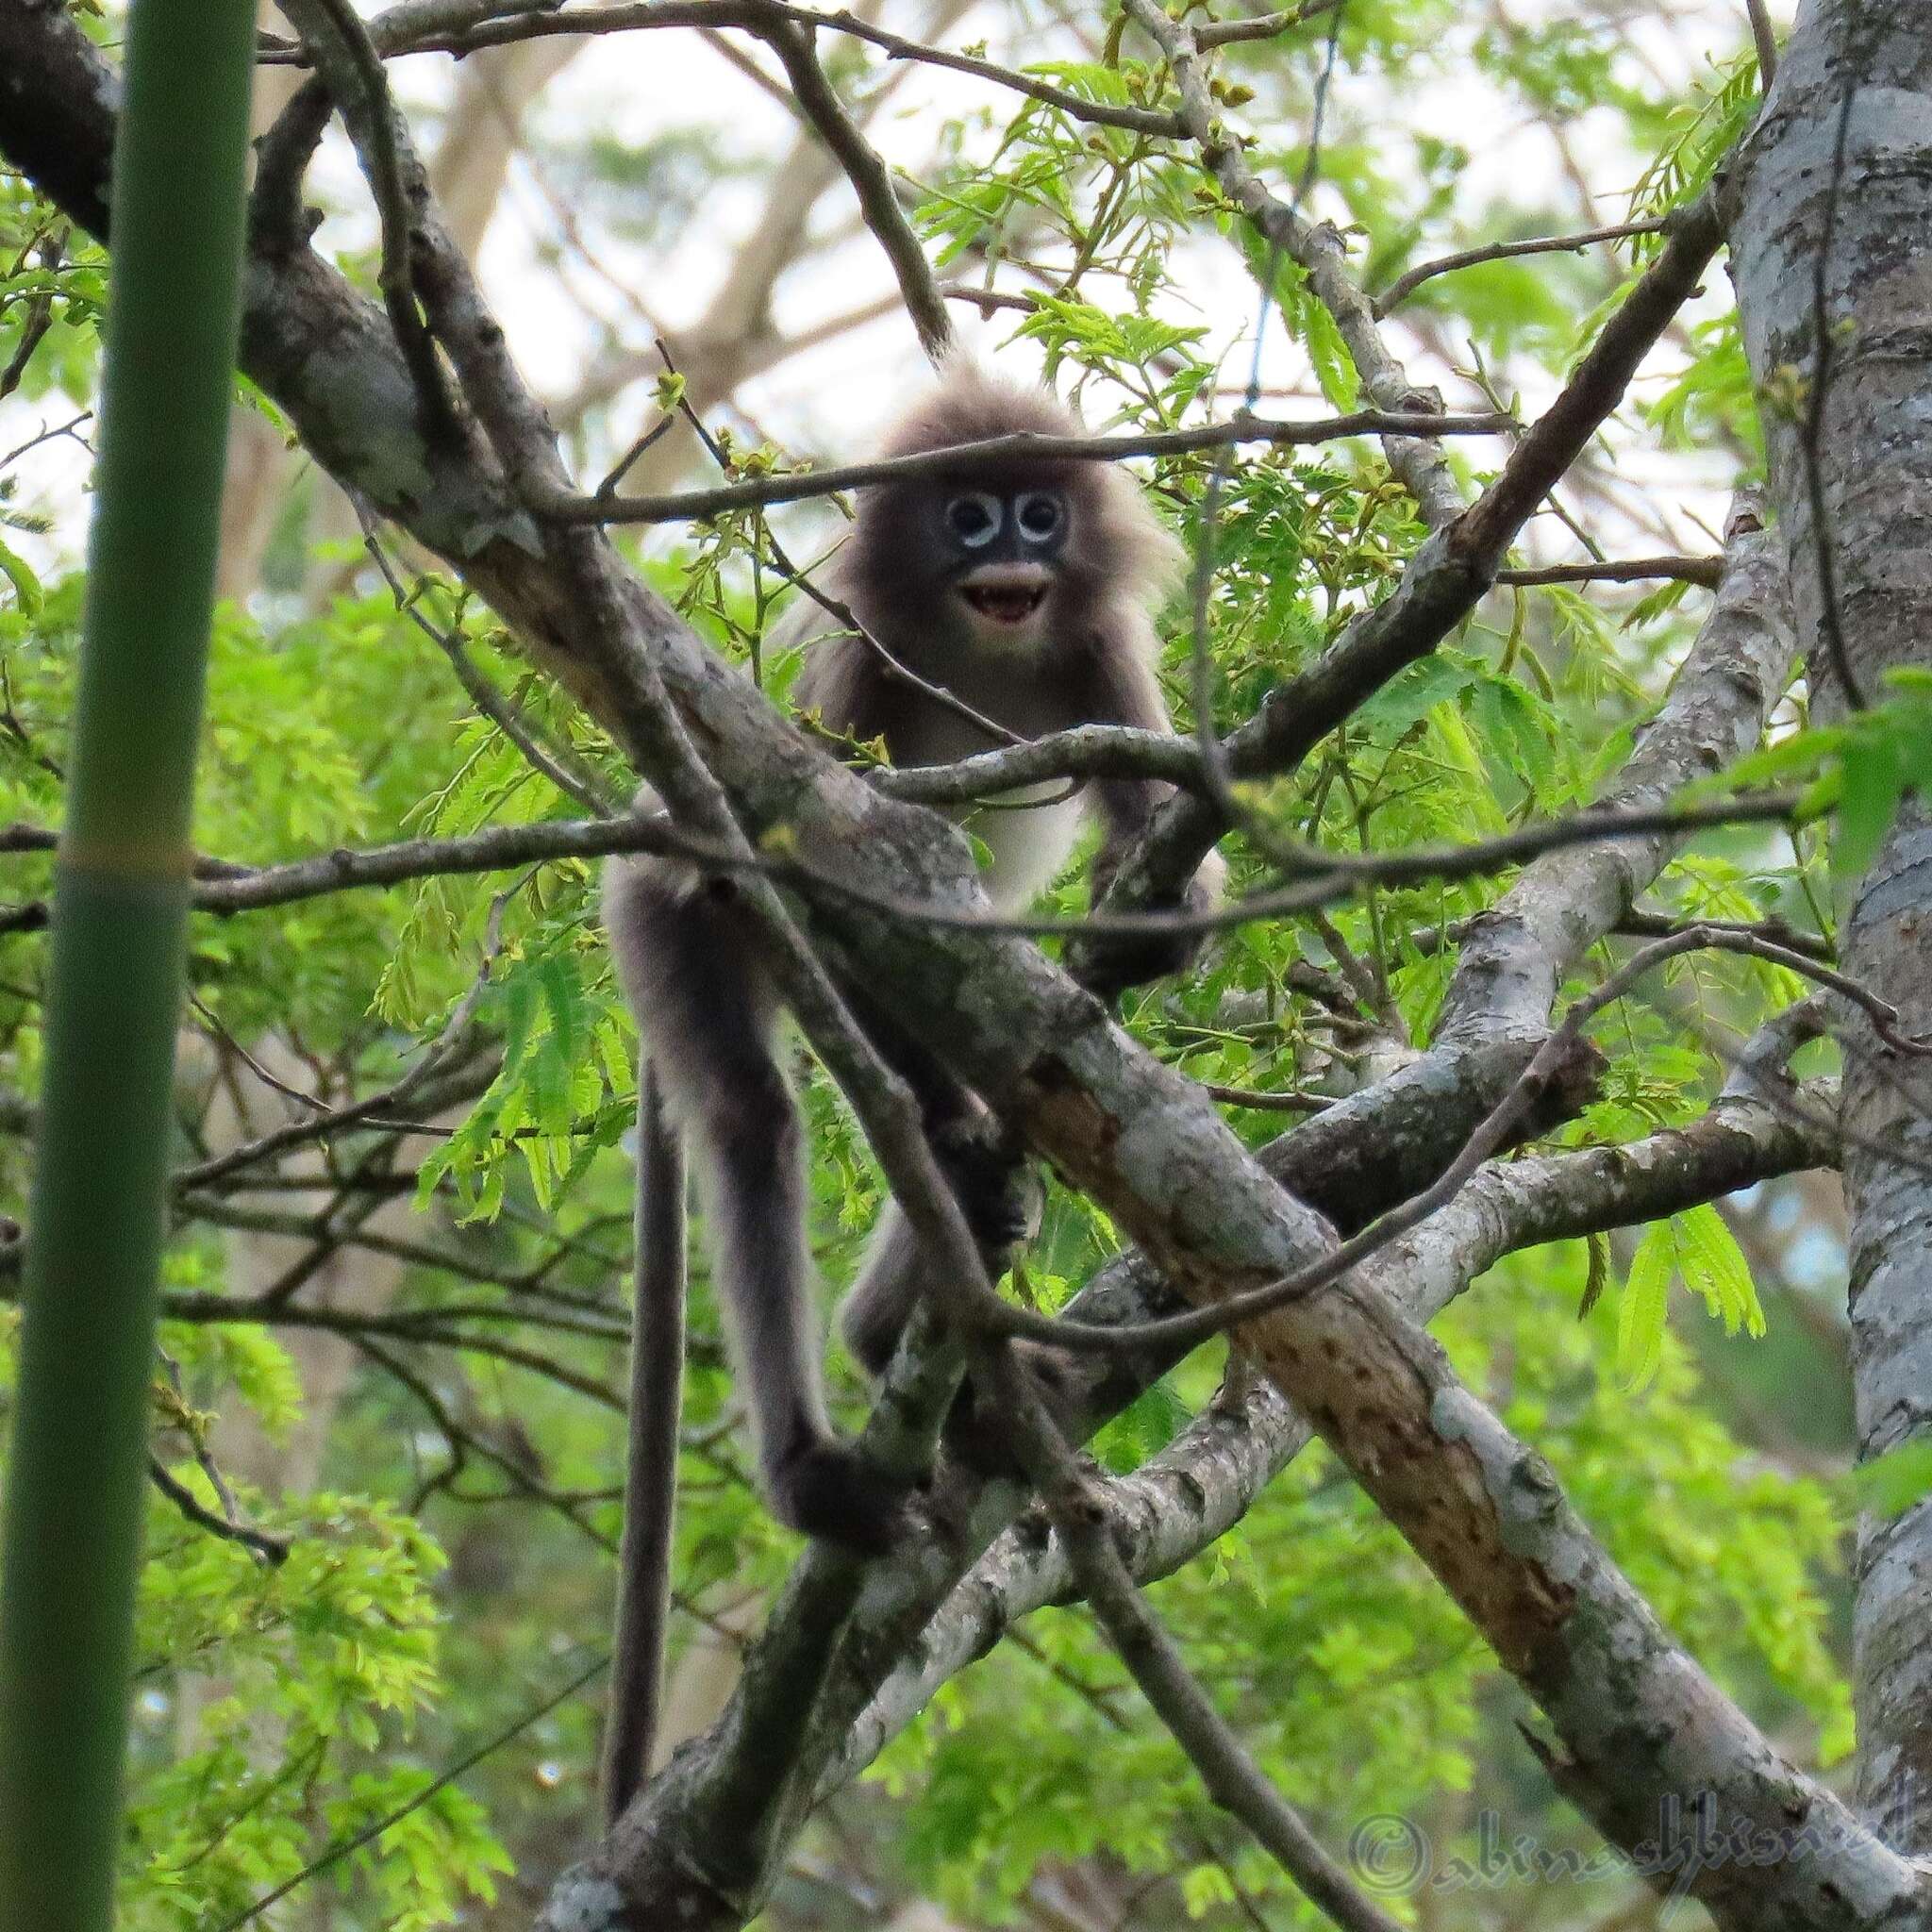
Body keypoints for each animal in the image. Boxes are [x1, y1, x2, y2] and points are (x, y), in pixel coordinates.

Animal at [598, 373, 1221, 1807]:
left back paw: (910, 1326)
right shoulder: (860, 670)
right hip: (668, 919)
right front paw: (961, 1145)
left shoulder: (1101, 659)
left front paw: (1146, 928)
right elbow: (841, 888)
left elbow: (1161, 872)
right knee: (756, 1114)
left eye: (1042, 513)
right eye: (970, 515)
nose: (1010, 559)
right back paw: (824, 1447)